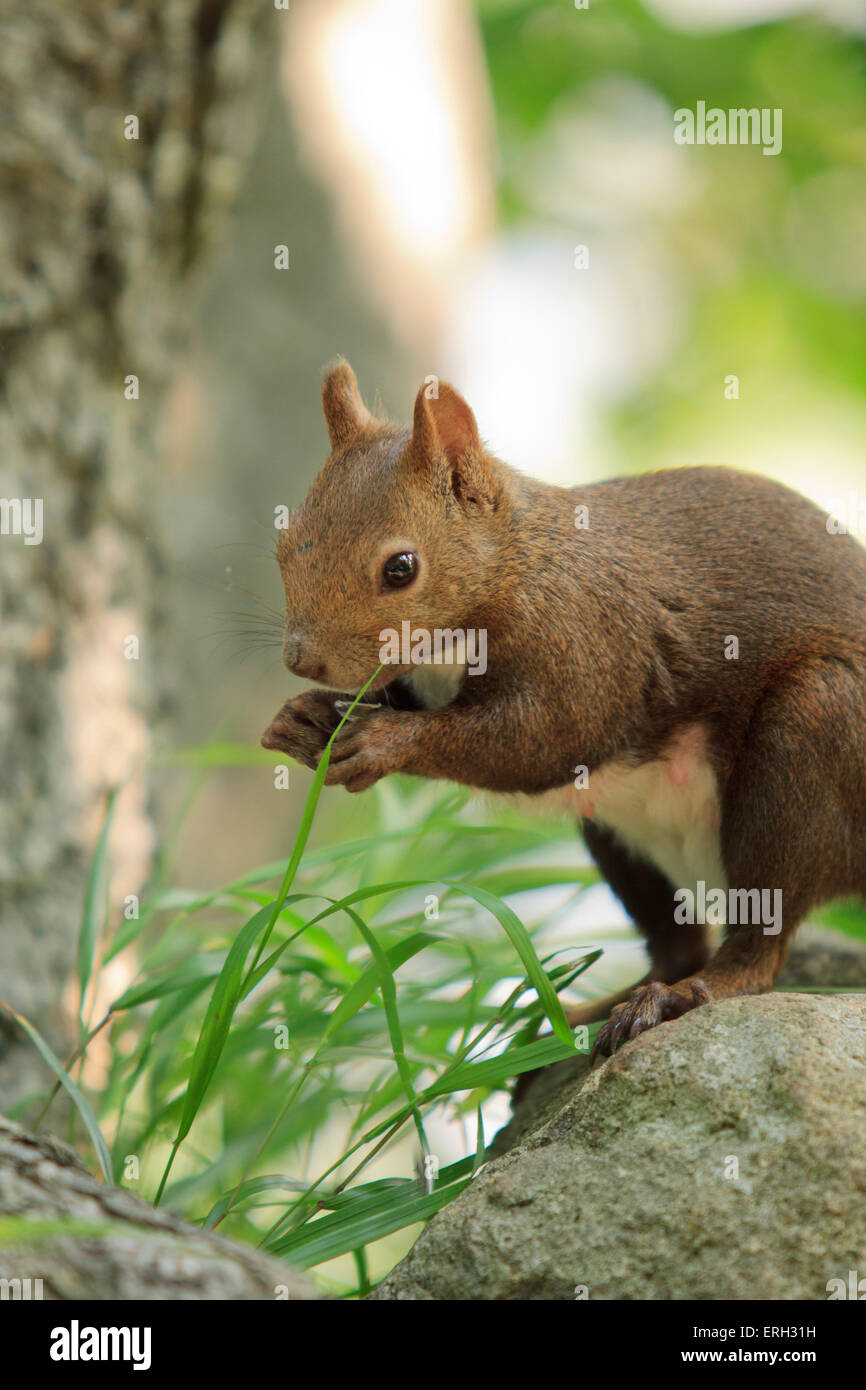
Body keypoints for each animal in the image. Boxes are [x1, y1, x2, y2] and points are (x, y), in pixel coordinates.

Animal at [261, 358, 866, 1050]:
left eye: (401, 567)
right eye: (283, 546)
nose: (302, 660)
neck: (516, 562)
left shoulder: (584, 643)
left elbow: (538, 739)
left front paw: (383, 741)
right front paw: (303, 718)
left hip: (813, 735)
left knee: (759, 942)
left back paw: (684, 996)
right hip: (620, 836)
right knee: (678, 943)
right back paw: (589, 1015)